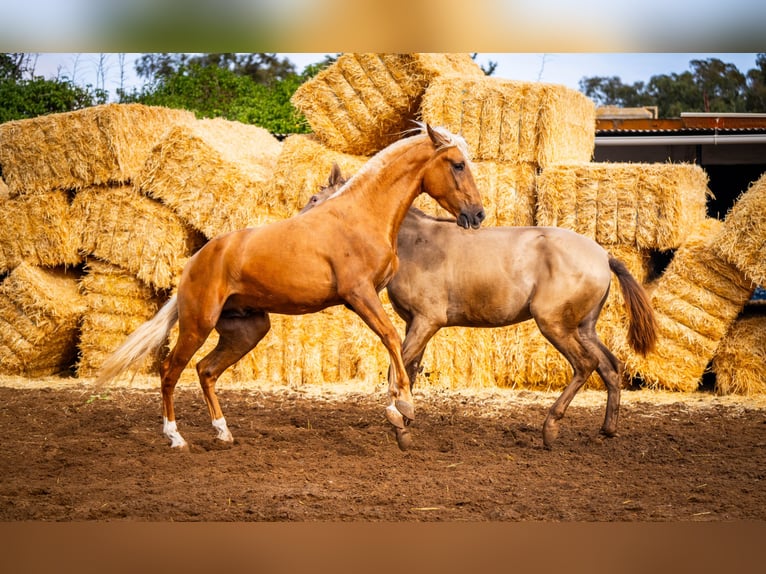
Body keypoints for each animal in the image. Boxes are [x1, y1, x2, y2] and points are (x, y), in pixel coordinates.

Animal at [97, 125, 486, 450]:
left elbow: (400, 350)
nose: (478, 214)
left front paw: (399, 419)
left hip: (247, 329)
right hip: (198, 324)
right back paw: (175, 438)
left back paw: (223, 433)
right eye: (457, 164)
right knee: (169, 371)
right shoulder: (359, 294)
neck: (361, 216)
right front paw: (402, 406)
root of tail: (194, 262)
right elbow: (392, 339)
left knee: (205, 371)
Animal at [304, 166, 656, 450]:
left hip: (555, 325)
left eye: (315, 198)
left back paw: (551, 427)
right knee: (610, 366)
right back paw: (607, 429)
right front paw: (405, 422)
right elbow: (410, 370)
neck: (414, 243)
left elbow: (398, 368)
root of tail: (603, 255)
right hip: (583, 327)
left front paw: (398, 421)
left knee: (585, 365)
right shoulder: (413, 324)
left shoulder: (427, 321)